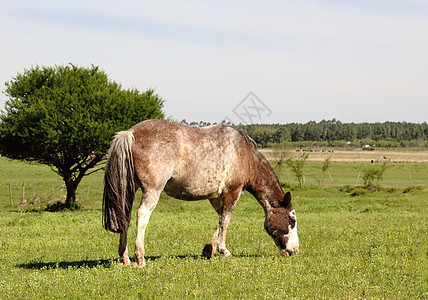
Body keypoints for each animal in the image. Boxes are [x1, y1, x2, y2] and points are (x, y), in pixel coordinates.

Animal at [102, 118, 300, 268]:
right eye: (292, 220)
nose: (294, 250)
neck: (245, 156)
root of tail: (130, 133)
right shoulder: (231, 193)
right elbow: (225, 221)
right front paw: (224, 250)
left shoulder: (216, 197)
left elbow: (219, 222)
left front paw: (209, 248)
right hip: (152, 191)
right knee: (141, 216)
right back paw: (140, 258)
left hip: (129, 189)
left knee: (125, 217)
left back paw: (125, 258)